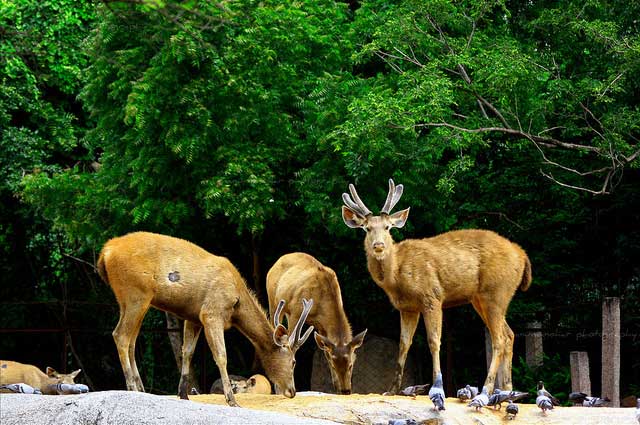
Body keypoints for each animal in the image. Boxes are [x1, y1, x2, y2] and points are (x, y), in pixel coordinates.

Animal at [96, 230, 314, 406]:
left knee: (131, 341)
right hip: (135, 293)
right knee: (120, 335)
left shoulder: (192, 317)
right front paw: (232, 400)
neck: (237, 304)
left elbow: (187, 352)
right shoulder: (211, 313)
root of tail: (105, 252)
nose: (292, 391)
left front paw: (183, 394)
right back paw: (132, 387)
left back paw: (141, 389)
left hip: (130, 301)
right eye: (294, 361)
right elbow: (221, 355)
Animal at [264, 252, 368, 394]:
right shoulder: (295, 311)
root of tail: (279, 260)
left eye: (351, 365)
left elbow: (326, 352)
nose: (346, 390)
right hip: (273, 301)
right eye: (334, 366)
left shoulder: (322, 327)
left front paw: (336, 389)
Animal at [342, 178, 532, 394]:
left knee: (499, 339)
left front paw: (436, 385)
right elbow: (403, 344)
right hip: (483, 298)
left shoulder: (432, 296)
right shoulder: (407, 308)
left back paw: (487, 387)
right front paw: (392, 389)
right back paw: (507, 390)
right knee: (509, 335)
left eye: (388, 227)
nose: (379, 245)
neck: (397, 276)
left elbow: (434, 341)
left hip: (496, 291)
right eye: (366, 228)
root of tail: (522, 254)